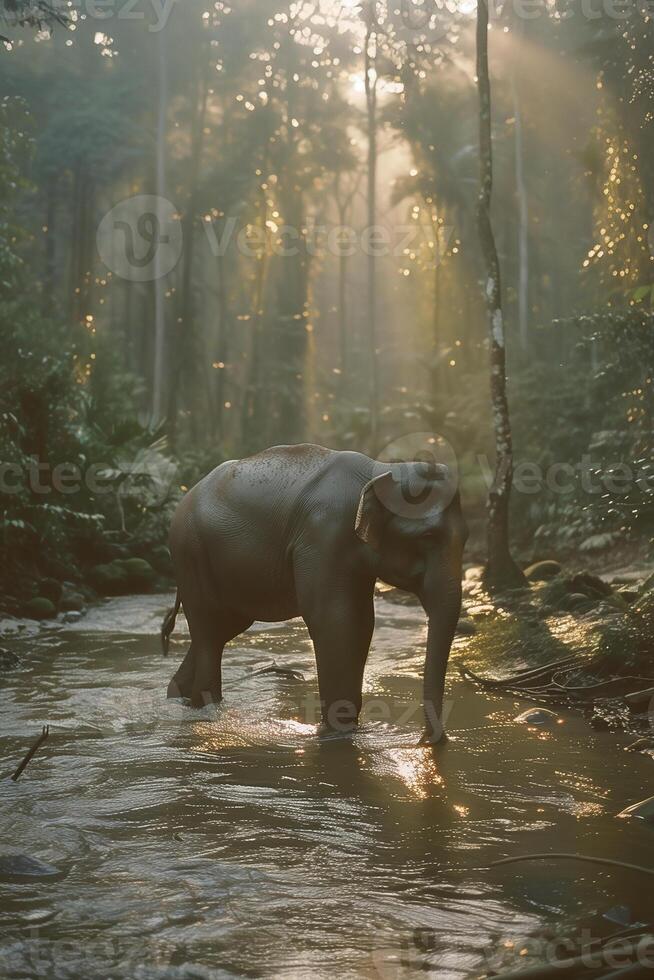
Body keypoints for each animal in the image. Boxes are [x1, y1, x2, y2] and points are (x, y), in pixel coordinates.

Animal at [164, 442, 472, 744]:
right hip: (190, 552)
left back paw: (178, 698)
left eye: (467, 538)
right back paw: (203, 708)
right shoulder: (323, 537)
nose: (428, 740)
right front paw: (338, 733)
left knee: (222, 629)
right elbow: (335, 620)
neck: (381, 470)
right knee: (209, 631)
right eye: (427, 537)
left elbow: (362, 621)